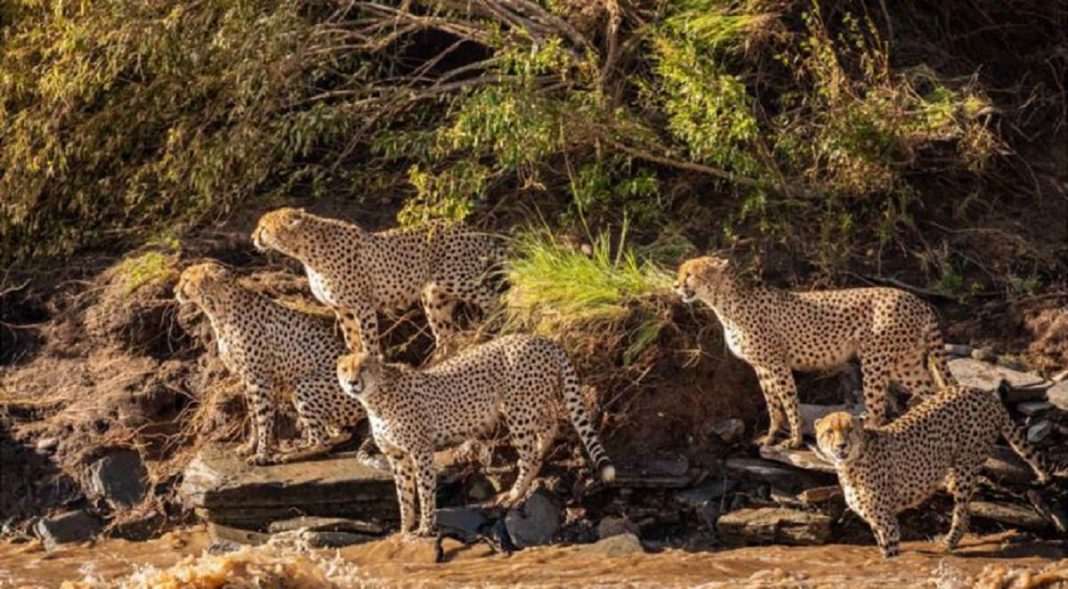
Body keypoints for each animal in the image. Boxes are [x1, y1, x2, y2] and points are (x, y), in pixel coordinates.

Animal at [178, 262, 367, 466]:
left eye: (186, 280)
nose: (175, 290)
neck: (218, 308)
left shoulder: (259, 379)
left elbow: (263, 418)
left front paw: (261, 454)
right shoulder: (246, 378)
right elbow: (253, 415)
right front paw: (250, 446)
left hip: (304, 386)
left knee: (323, 443)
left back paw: (289, 455)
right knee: (334, 435)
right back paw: (297, 447)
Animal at [252, 209, 501, 357]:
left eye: (263, 228)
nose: (253, 238)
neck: (306, 252)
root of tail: (465, 226)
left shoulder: (362, 305)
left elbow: (368, 340)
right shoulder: (342, 308)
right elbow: (352, 339)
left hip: (456, 278)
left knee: (492, 298)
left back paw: (491, 328)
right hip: (434, 297)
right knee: (445, 333)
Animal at [333, 333, 619, 536]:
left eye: (363, 368)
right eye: (345, 369)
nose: (352, 382)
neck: (376, 398)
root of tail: (541, 339)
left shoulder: (420, 451)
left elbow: (425, 490)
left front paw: (426, 527)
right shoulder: (397, 456)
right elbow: (404, 494)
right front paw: (405, 529)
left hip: (518, 410)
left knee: (529, 454)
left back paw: (515, 493)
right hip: (529, 404)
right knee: (551, 425)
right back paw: (540, 454)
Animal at [674, 255, 952, 448]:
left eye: (689, 274)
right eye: (681, 273)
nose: (676, 286)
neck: (725, 303)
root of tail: (918, 301)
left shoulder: (777, 364)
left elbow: (789, 402)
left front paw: (794, 440)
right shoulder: (761, 367)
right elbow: (773, 404)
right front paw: (770, 437)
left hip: (875, 361)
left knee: (877, 410)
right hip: (905, 364)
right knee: (933, 393)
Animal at [811, 384, 1046, 560]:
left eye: (850, 430)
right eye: (829, 432)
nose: (841, 446)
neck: (850, 465)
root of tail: (982, 392)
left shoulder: (886, 520)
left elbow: (890, 553)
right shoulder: (874, 519)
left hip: (965, 468)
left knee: (963, 513)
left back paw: (948, 543)